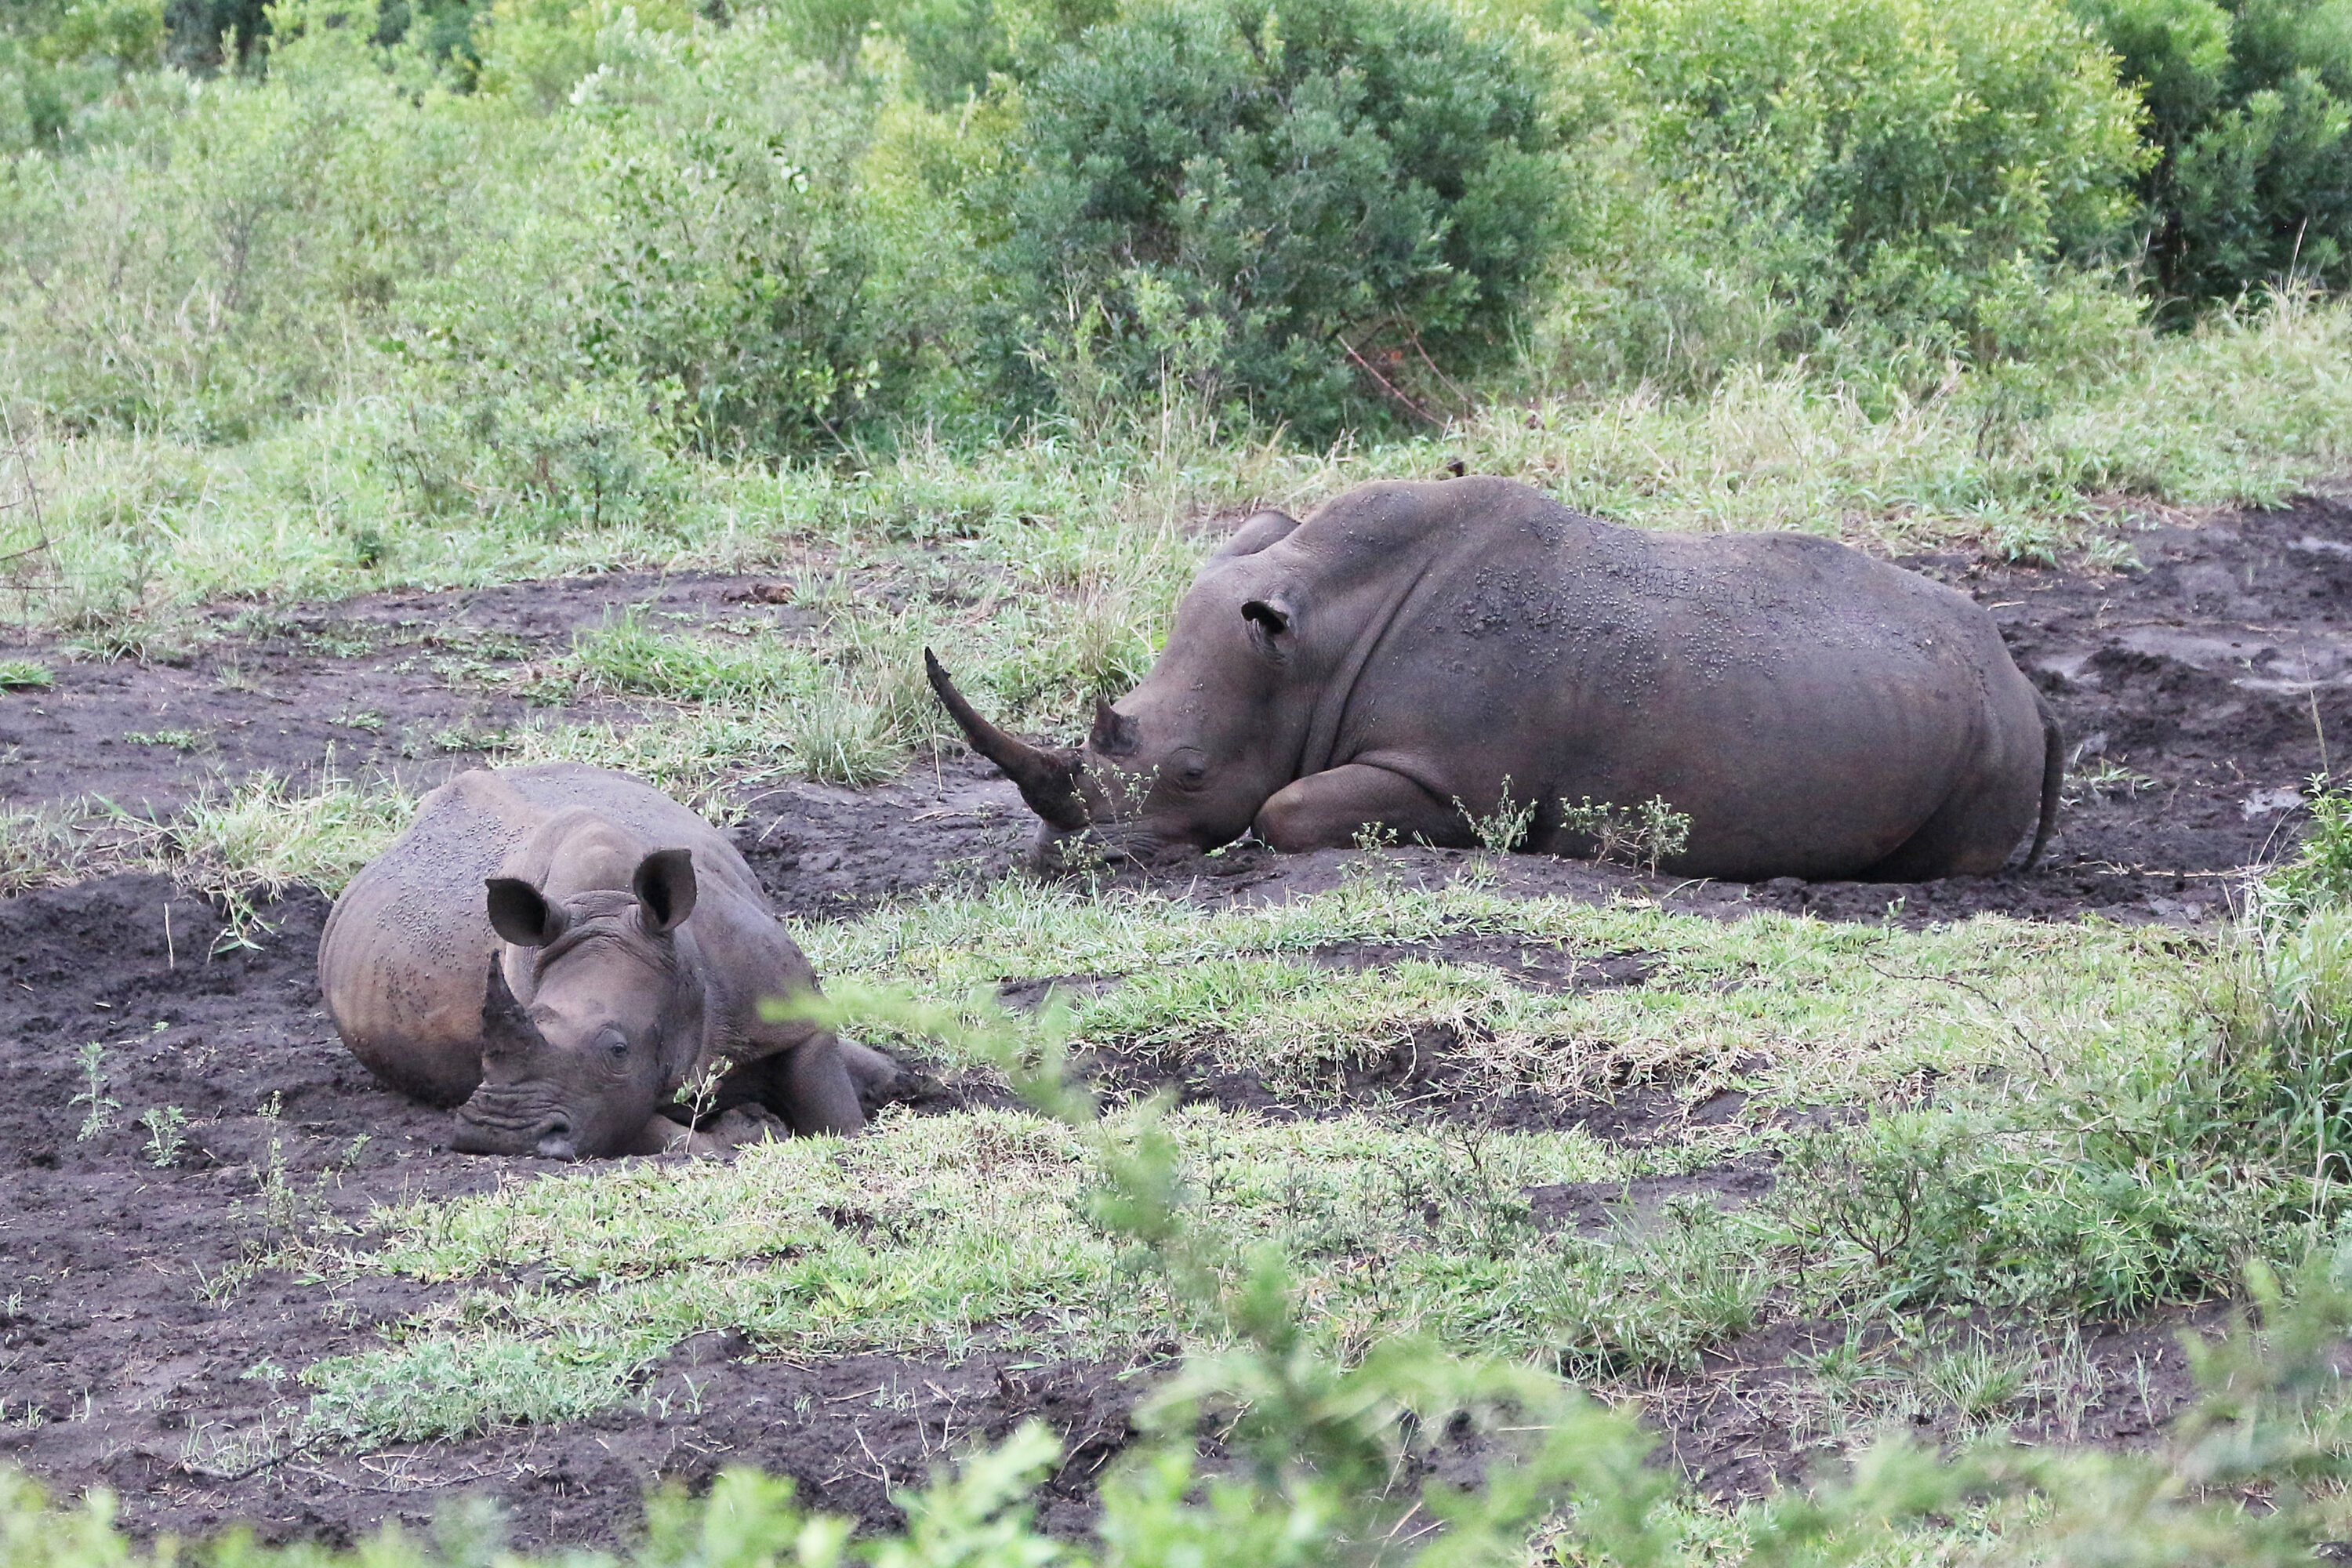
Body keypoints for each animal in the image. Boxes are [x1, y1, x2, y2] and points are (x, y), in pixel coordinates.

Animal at [319, 762, 894, 1159]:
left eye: (618, 1050)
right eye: (482, 1047)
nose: (499, 1136)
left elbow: (829, 1104)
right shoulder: (608, 1101)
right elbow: (670, 1139)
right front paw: (747, 1131)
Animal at [928, 476, 2062, 882]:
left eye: (1193, 772)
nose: (1066, 861)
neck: (1317, 632)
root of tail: (2023, 678)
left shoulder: (1458, 782)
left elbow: (1286, 809)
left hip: (1987, 736)